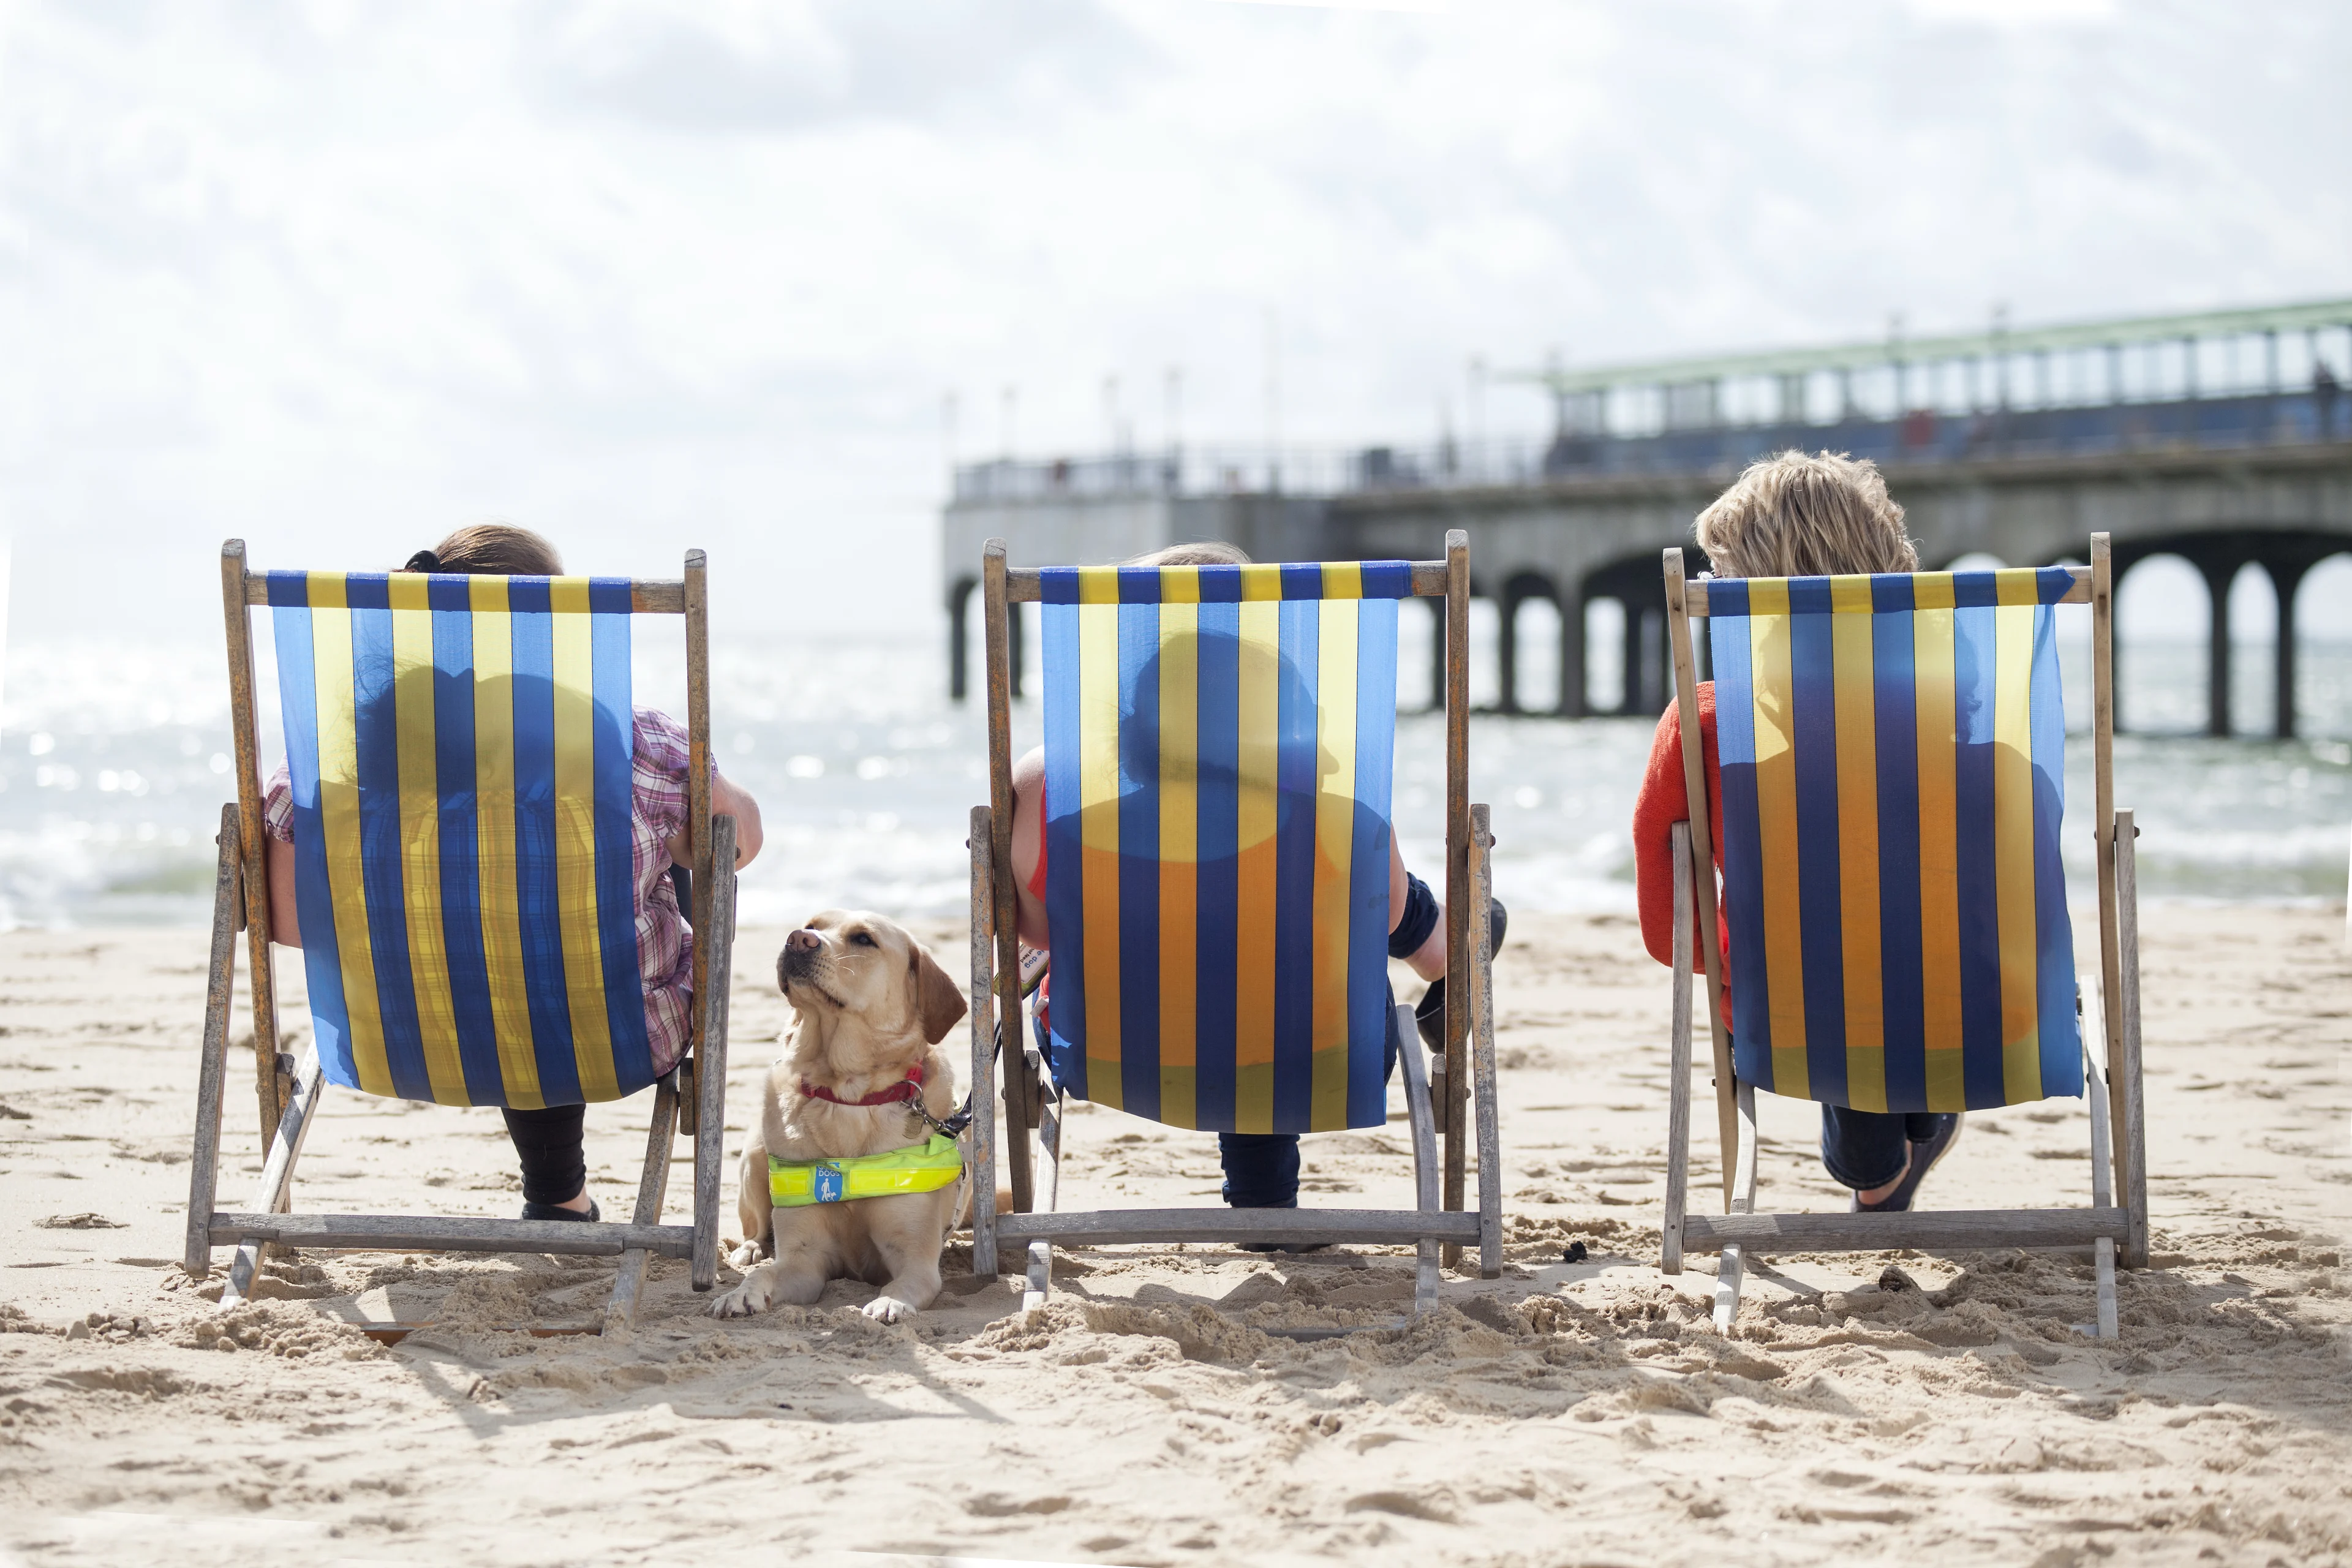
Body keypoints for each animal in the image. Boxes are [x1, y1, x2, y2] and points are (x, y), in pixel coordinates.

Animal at [715, 907, 973, 1325]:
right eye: (813, 925)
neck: (845, 1097)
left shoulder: (915, 1260)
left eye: (864, 939)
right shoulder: (804, 1260)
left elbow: (900, 1284)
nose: (797, 939)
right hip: (755, 1157)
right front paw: (742, 1292)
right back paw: (751, 1248)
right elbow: (767, 1273)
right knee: (755, 1229)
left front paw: (889, 1303)